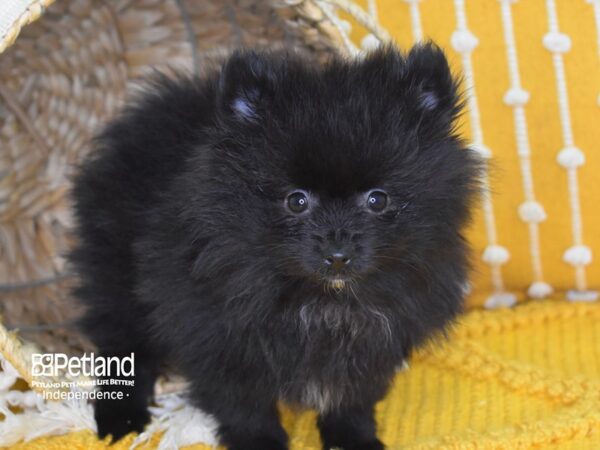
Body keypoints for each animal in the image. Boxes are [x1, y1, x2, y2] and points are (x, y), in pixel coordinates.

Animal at [70, 43, 482, 450]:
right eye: (296, 201)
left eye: (377, 200)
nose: (337, 256)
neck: (325, 301)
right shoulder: (218, 332)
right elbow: (244, 402)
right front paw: (260, 442)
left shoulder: (374, 336)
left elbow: (352, 395)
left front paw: (354, 438)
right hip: (117, 275)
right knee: (123, 344)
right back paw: (121, 416)